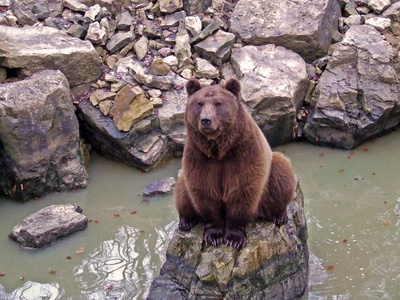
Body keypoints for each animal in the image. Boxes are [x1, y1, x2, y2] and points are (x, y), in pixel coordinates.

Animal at [175, 78, 296, 248]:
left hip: (271, 171)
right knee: (182, 191)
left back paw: (279, 215)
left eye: (218, 103)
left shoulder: (243, 153)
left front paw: (235, 238)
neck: (220, 149)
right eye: (199, 103)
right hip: (184, 176)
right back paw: (186, 221)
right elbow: (205, 191)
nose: (206, 120)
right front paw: (215, 235)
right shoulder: (200, 156)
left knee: (281, 175)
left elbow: (242, 190)